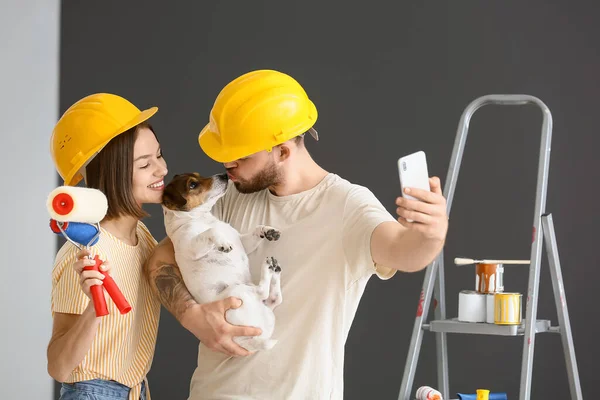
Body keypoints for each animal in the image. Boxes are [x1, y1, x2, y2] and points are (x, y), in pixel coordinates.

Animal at [162, 173, 284, 352]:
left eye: (198, 175)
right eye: (192, 184)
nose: (224, 175)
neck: (202, 219)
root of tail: (250, 339)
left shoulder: (242, 241)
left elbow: (254, 232)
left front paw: (268, 230)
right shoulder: (191, 246)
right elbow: (211, 231)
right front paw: (222, 242)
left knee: (274, 299)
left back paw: (274, 269)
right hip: (236, 291)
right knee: (263, 292)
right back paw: (268, 267)